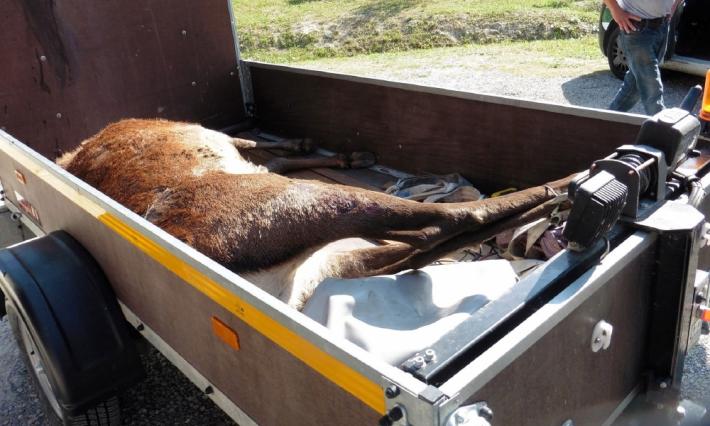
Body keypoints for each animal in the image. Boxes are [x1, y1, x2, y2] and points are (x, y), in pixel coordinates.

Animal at [58, 119, 575, 310]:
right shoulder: (224, 141)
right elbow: (259, 143)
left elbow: (268, 148)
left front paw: (344, 153)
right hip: (301, 203)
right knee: (451, 219)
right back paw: (561, 188)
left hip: (326, 257)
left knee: (414, 247)